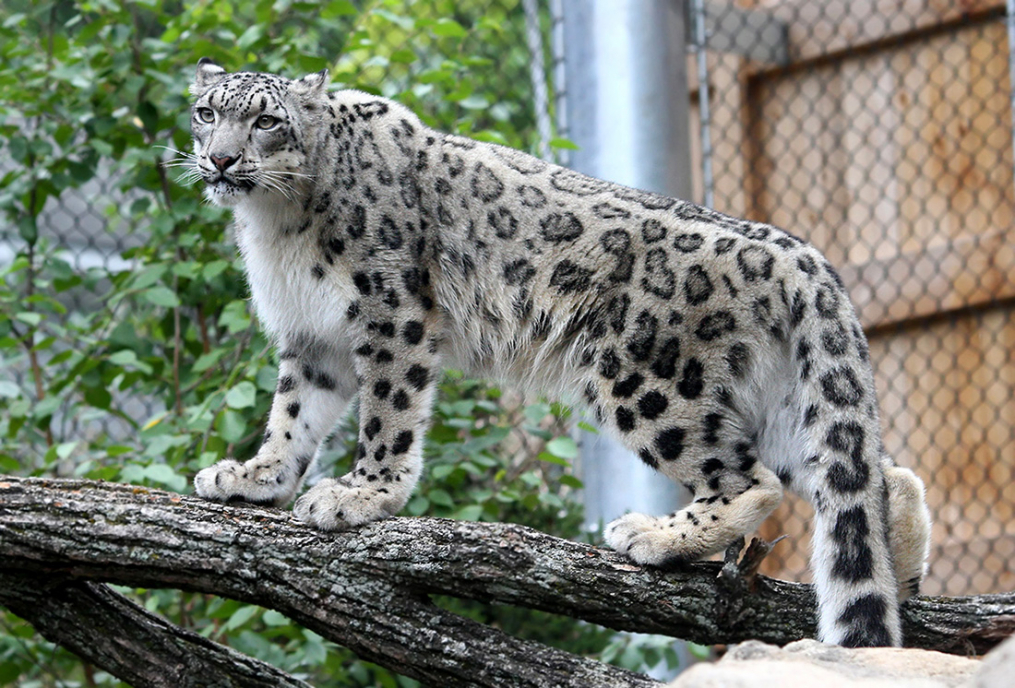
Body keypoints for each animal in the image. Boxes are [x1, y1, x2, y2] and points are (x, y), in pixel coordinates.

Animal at [186, 61, 929, 649]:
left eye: (265, 121)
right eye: (206, 113)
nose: (220, 161)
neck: (276, 228)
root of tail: (791, 248)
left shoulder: (389, 312)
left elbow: (387, 411)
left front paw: (362, 494)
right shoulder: (314, 338)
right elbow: (293, 414)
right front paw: (256, 477)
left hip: (643, 377)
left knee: (751, 478)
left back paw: (654, 536)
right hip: (778, 398)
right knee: (867, 475)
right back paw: (901, 576)